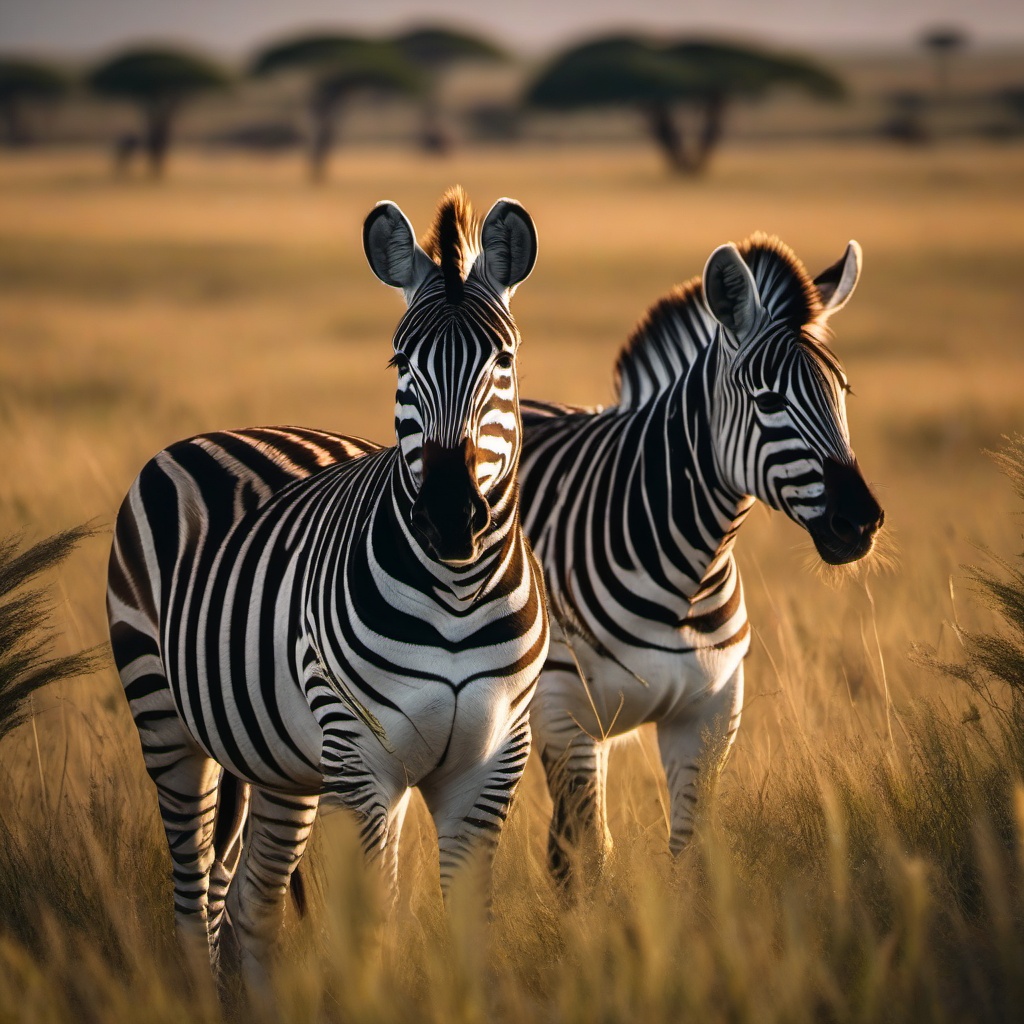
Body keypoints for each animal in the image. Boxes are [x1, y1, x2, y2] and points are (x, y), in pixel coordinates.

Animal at [107, 188, 548, 987]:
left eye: (503, 359)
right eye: (400, 361)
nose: (449, 516)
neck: (457, 592)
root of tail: (231, 430)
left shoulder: (491, 761)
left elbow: (468, 928)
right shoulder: (362, 759)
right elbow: (373, 928)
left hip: (280, 761)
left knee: (248, 900)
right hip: (163, 717)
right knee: (193, 894)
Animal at [516, 232, 884, 880]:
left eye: (842, 393)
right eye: (768, 400)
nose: (860, 520)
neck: (682, 569)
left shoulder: (708, 716)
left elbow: (689, 852)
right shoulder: (565, 719)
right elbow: (590, 862)